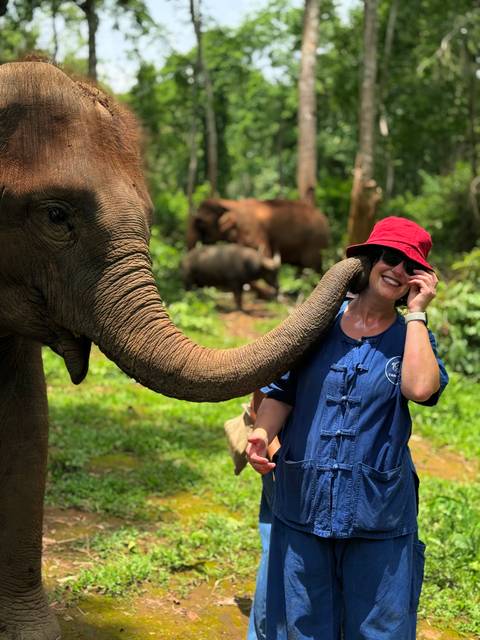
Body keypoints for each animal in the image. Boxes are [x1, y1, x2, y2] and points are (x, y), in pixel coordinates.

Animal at [186, 197, 330, 272]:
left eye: (201, 222)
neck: (229, 203)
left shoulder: (251, 230)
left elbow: (263, 253)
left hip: (315, 242)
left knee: (310, 266)